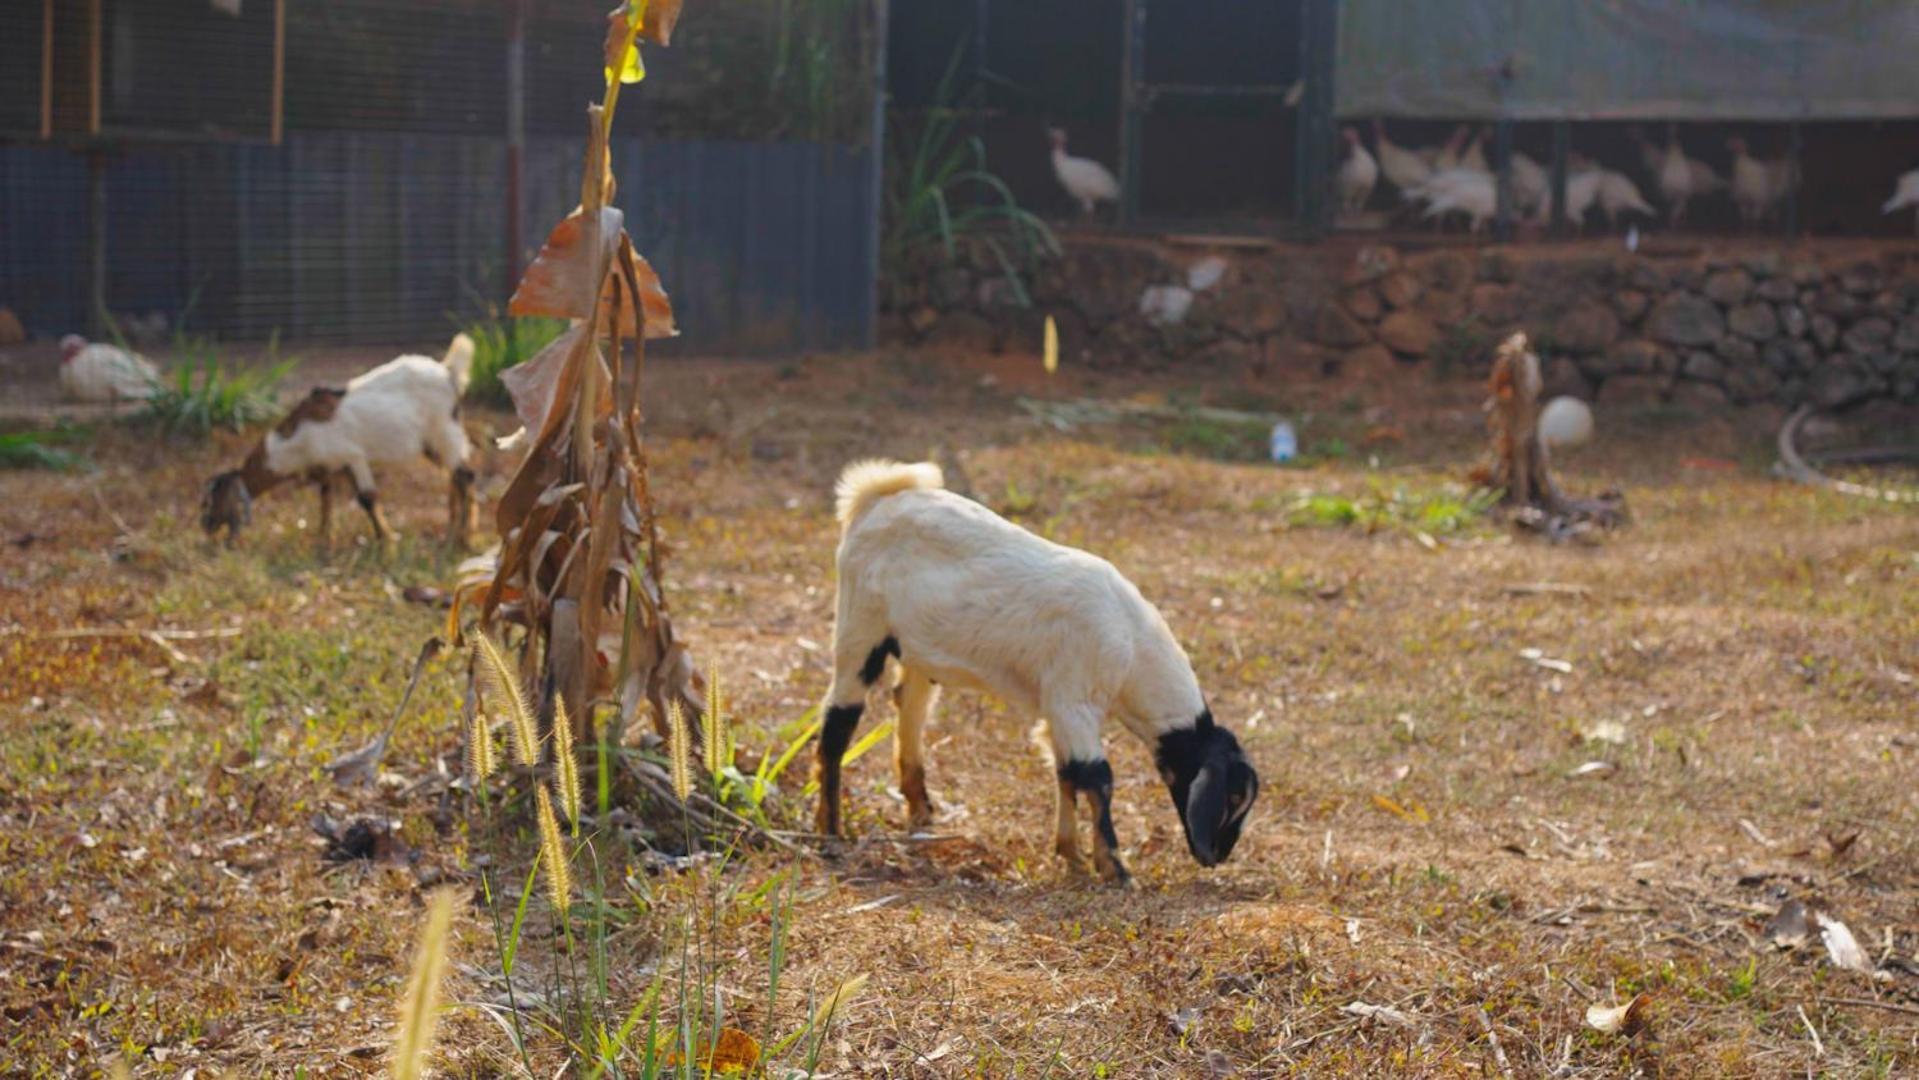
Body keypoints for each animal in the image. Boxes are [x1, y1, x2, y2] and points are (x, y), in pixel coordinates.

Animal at [203, 333, 475, 548]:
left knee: (465, 475)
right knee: (455, 476)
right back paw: (453, 530)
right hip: (432, 443)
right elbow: (326, 500)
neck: (293, 442)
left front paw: (385, 541)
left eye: (211, 500)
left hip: (444, 429)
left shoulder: (352, 456)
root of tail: (448, 372)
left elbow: (366, 498)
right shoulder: (328, 469)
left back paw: (464, 537)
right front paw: (324, 539)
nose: (206, 526)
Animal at [813, 460, 1251, 882]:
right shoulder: (1074, 703)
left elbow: (1067, 774)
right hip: (860, 627)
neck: (1132, 646)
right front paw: (1115, 868)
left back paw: (920, 810)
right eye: (1232, 798)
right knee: (838, 722)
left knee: (910, 710)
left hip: (916, 650)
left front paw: (1072, 855)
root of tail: (875, 497)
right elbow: (1098, 778)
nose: (1217, 855)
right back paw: (830, 831)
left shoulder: (1058, 710)